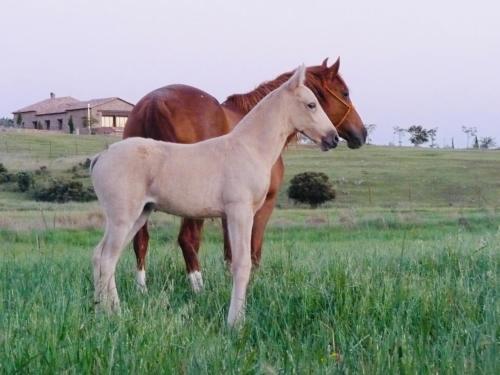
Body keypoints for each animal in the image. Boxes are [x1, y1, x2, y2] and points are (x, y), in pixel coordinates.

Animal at [91, 66, 340, 328]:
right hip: (122, 218)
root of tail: (101, 157)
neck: (249, 148)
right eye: (312, 104)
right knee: (107, 258)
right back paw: (112, 316)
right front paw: (235, 323)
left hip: (139, 215)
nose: (333, 138)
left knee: (101, 256)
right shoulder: (240, 212)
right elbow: (242, 263)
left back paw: (105, 312)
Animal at [123, 57, 366, 292]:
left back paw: (142, 289)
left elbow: (231, 251)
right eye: (345, 93)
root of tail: (154, 103)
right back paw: (198, 289)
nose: (362, 134)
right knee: (187, 240)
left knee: (140, 240)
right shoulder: (262, 205)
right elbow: (253, 249)